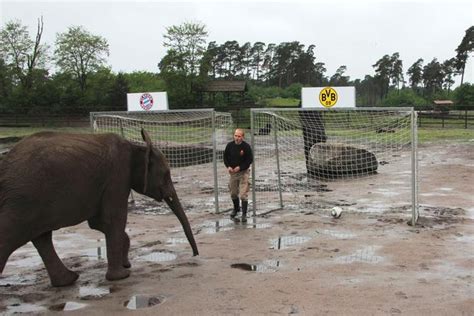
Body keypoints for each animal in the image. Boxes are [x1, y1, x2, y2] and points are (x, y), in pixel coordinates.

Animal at [0, 128, 198, 286]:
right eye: (166, 174)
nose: (195, 255)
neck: (137, 147)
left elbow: (97, 223)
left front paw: (126, 264)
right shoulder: (118, 175)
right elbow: (113, 219)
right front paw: (122, 275)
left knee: (42, 238)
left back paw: (68, 281)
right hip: (24, 199)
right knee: (12, 236)